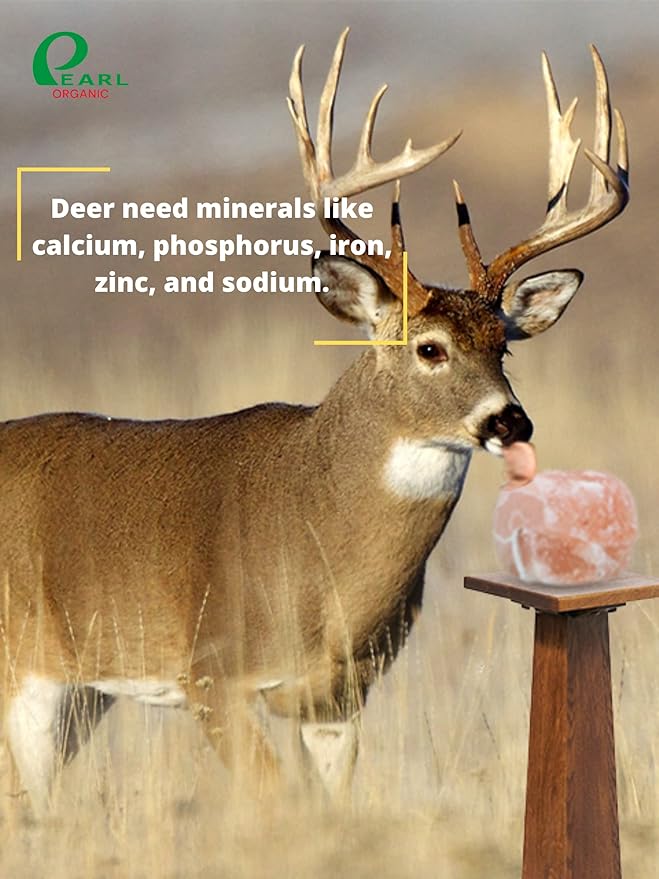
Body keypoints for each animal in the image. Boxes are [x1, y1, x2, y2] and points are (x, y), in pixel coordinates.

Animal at [0, 30, 628, 813]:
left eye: (504, 345)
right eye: (428, 347)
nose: (510, 420)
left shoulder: (339, 697)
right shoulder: (211, 669)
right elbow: (274, 806)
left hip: (81, 693)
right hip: (25, 668)